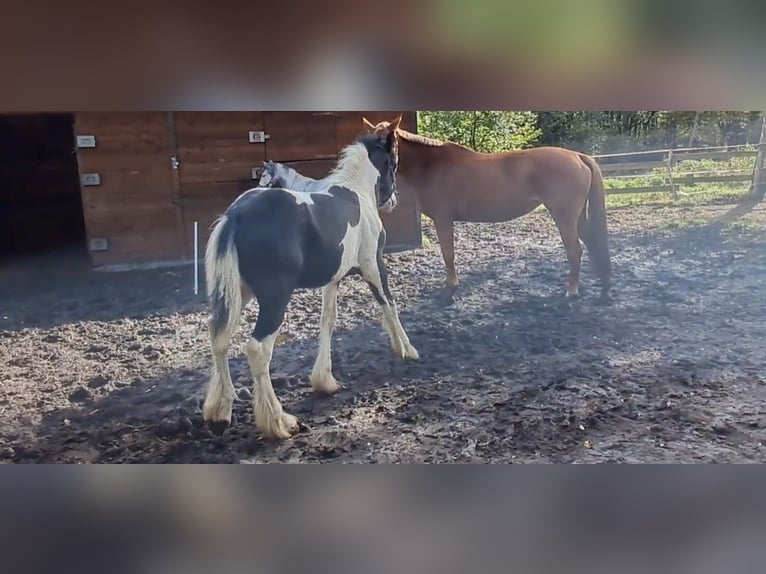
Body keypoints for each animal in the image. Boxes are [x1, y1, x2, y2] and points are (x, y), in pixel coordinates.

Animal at [202, 117, 420, 440]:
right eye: (394, 161)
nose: (391, 199)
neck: (356, 192)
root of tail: (235, 216)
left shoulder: (333, 279)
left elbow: (327, 321)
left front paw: (325, 381)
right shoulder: (373, 264)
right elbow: (389, 304)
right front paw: (407, 349)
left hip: (238, 293)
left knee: (219, 339)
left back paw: (220, 411)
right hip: (275, 298)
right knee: (257, 349)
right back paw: (279, 422)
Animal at [364, 117, 616, 306]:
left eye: (388, 145)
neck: (432, 166)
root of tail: (577, 156)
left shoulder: (443, 219)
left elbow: (448, 254)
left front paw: (449, 292)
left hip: (564, 217)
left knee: (575, 251)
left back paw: (571, 292)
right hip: (577, 217)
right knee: (592, 242)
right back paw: (603, 288)